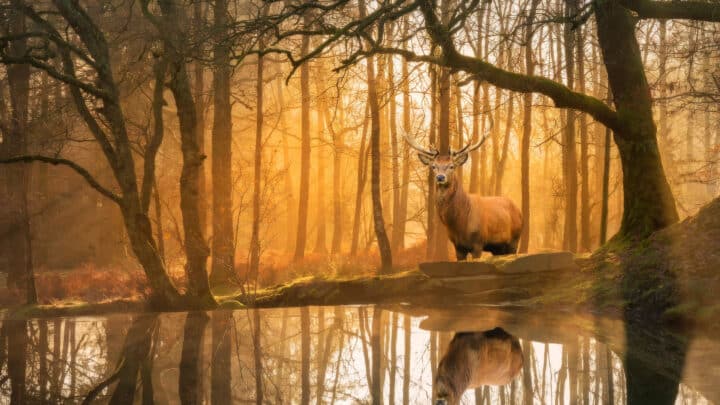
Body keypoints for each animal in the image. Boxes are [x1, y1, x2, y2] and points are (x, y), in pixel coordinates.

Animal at [405, 123, 523, 260]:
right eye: (433, 166)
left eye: (451, 166)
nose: (440, 177)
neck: (459, 223)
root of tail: (519, 211)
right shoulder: (458, 246)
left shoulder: (478, 242)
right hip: (498, 248)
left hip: (514, 239)